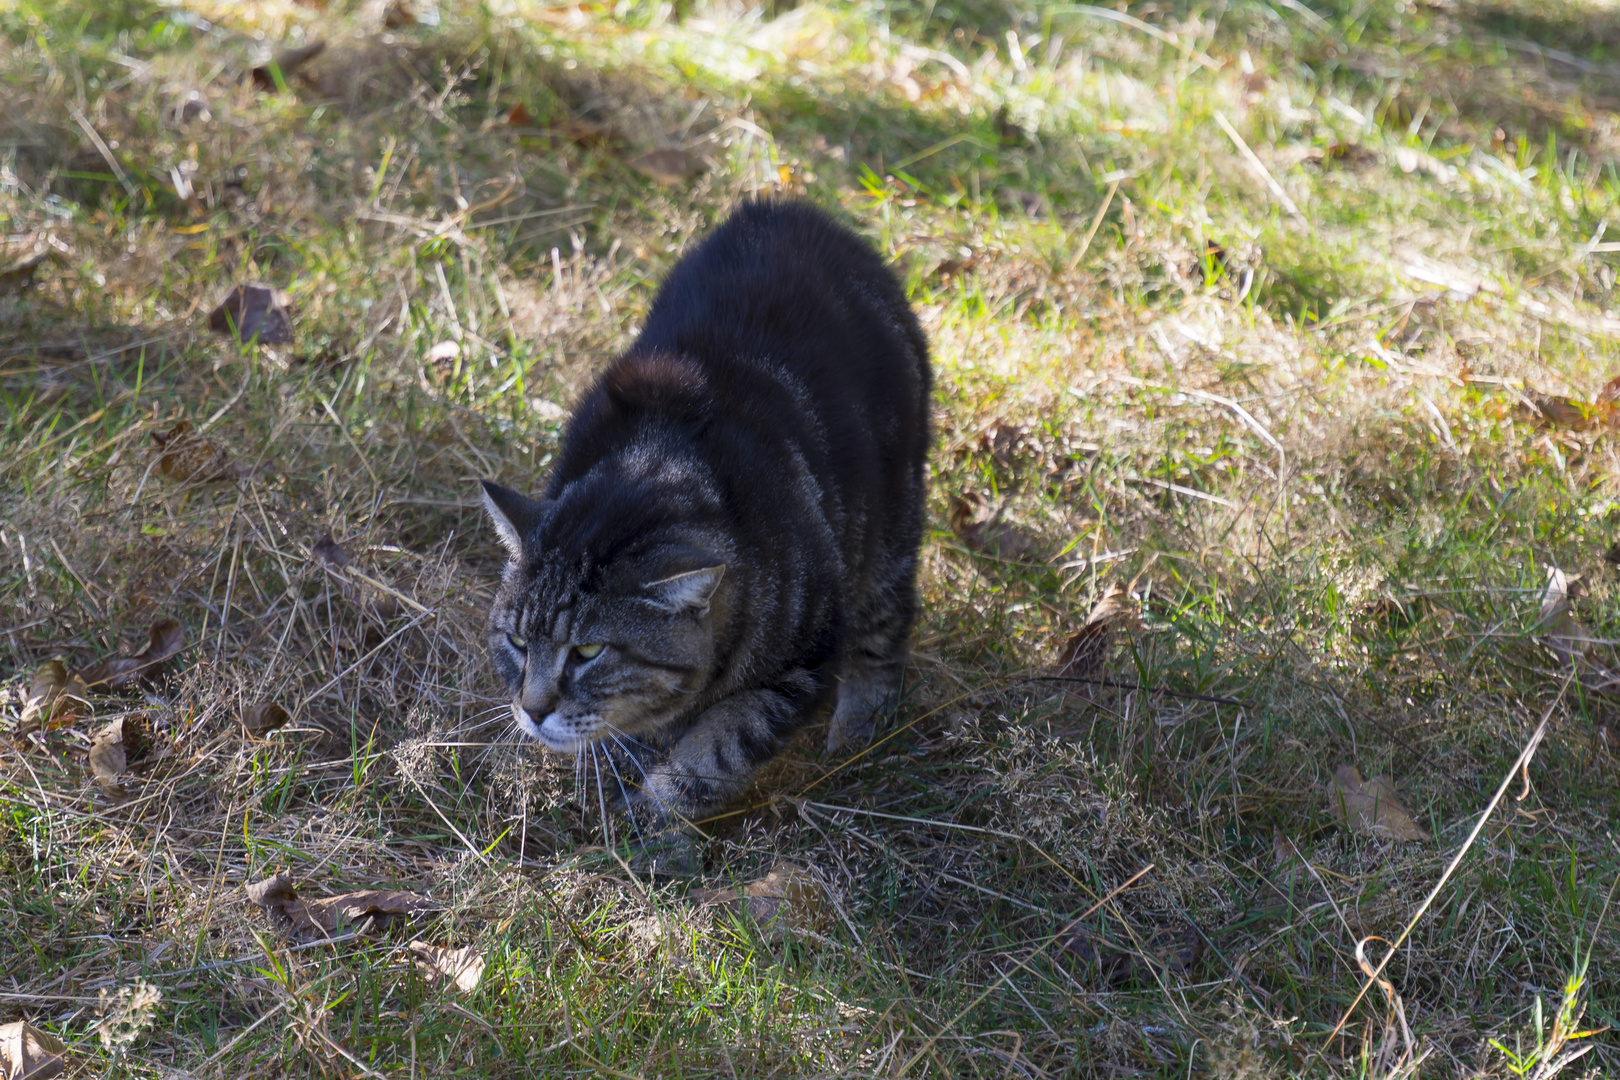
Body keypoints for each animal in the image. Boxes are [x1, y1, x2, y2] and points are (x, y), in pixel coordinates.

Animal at [479, 200, 933, 829]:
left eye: (589, 653)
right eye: (517, 643)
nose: (531, 709)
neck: (653, 461)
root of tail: (792, 209)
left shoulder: (806, 659)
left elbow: (720, 748)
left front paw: (652, 817)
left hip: (891, 522)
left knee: (887, 621)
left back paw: (861, 723)